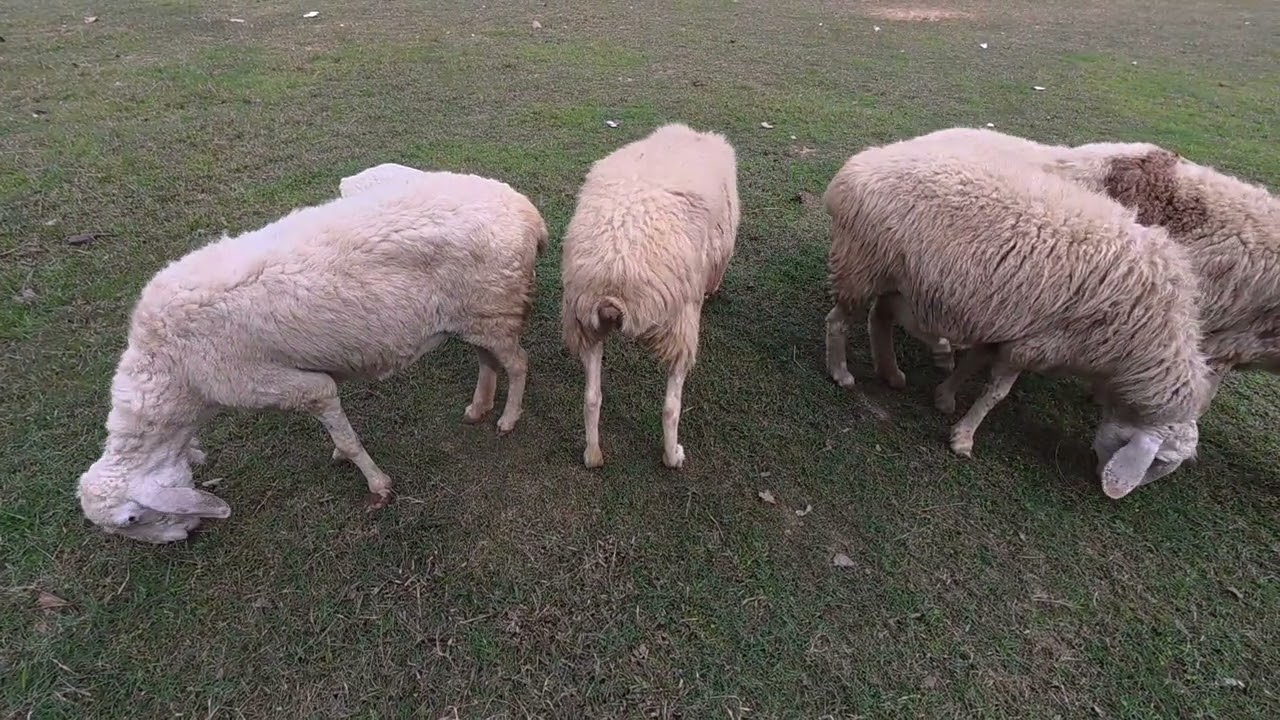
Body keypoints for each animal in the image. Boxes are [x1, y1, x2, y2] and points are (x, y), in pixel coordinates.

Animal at [76, 169, 548, 543]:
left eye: (132, 518)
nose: (179, 539)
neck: (176, 375)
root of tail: (527, 211)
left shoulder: (288, 385)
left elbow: (345, 434)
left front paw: (378, 486)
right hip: (475, 314)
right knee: (488, 360)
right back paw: (479, 407)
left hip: (495, 306)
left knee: (518, 363)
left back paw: (508, 418)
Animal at [561, 123, 739, 469]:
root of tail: (613, 290)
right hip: (679, 326)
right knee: (670, 408)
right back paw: (673, 456)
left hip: (585, 324)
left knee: (591, 398)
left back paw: (593, 455)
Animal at [822, 136, 1213, 499]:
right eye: (1159, 461)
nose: (1112, 494)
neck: (1142, 339)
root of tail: (858, 165)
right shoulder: (1034, 344)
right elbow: (996, 394)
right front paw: (963, 438)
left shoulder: (1003, 326)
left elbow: (973, 364)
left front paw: (945, 397)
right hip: (861, 264)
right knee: (838, 321)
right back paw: (841, 373)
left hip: (895, 276)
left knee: (880, 317)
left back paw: (891, 373)